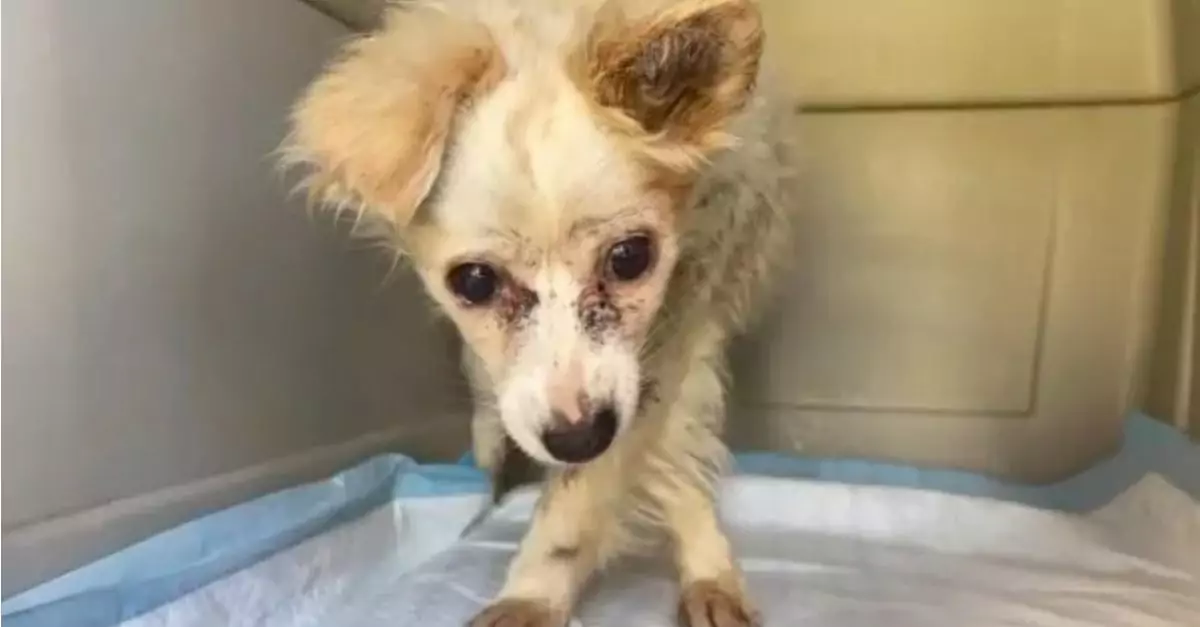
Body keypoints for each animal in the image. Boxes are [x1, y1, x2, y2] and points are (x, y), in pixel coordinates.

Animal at [280, 1, 796, 619]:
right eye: (475, 282)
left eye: (631, 257)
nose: (577, 440)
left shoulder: (676, 324)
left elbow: (608, 481)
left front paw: (533, 593)